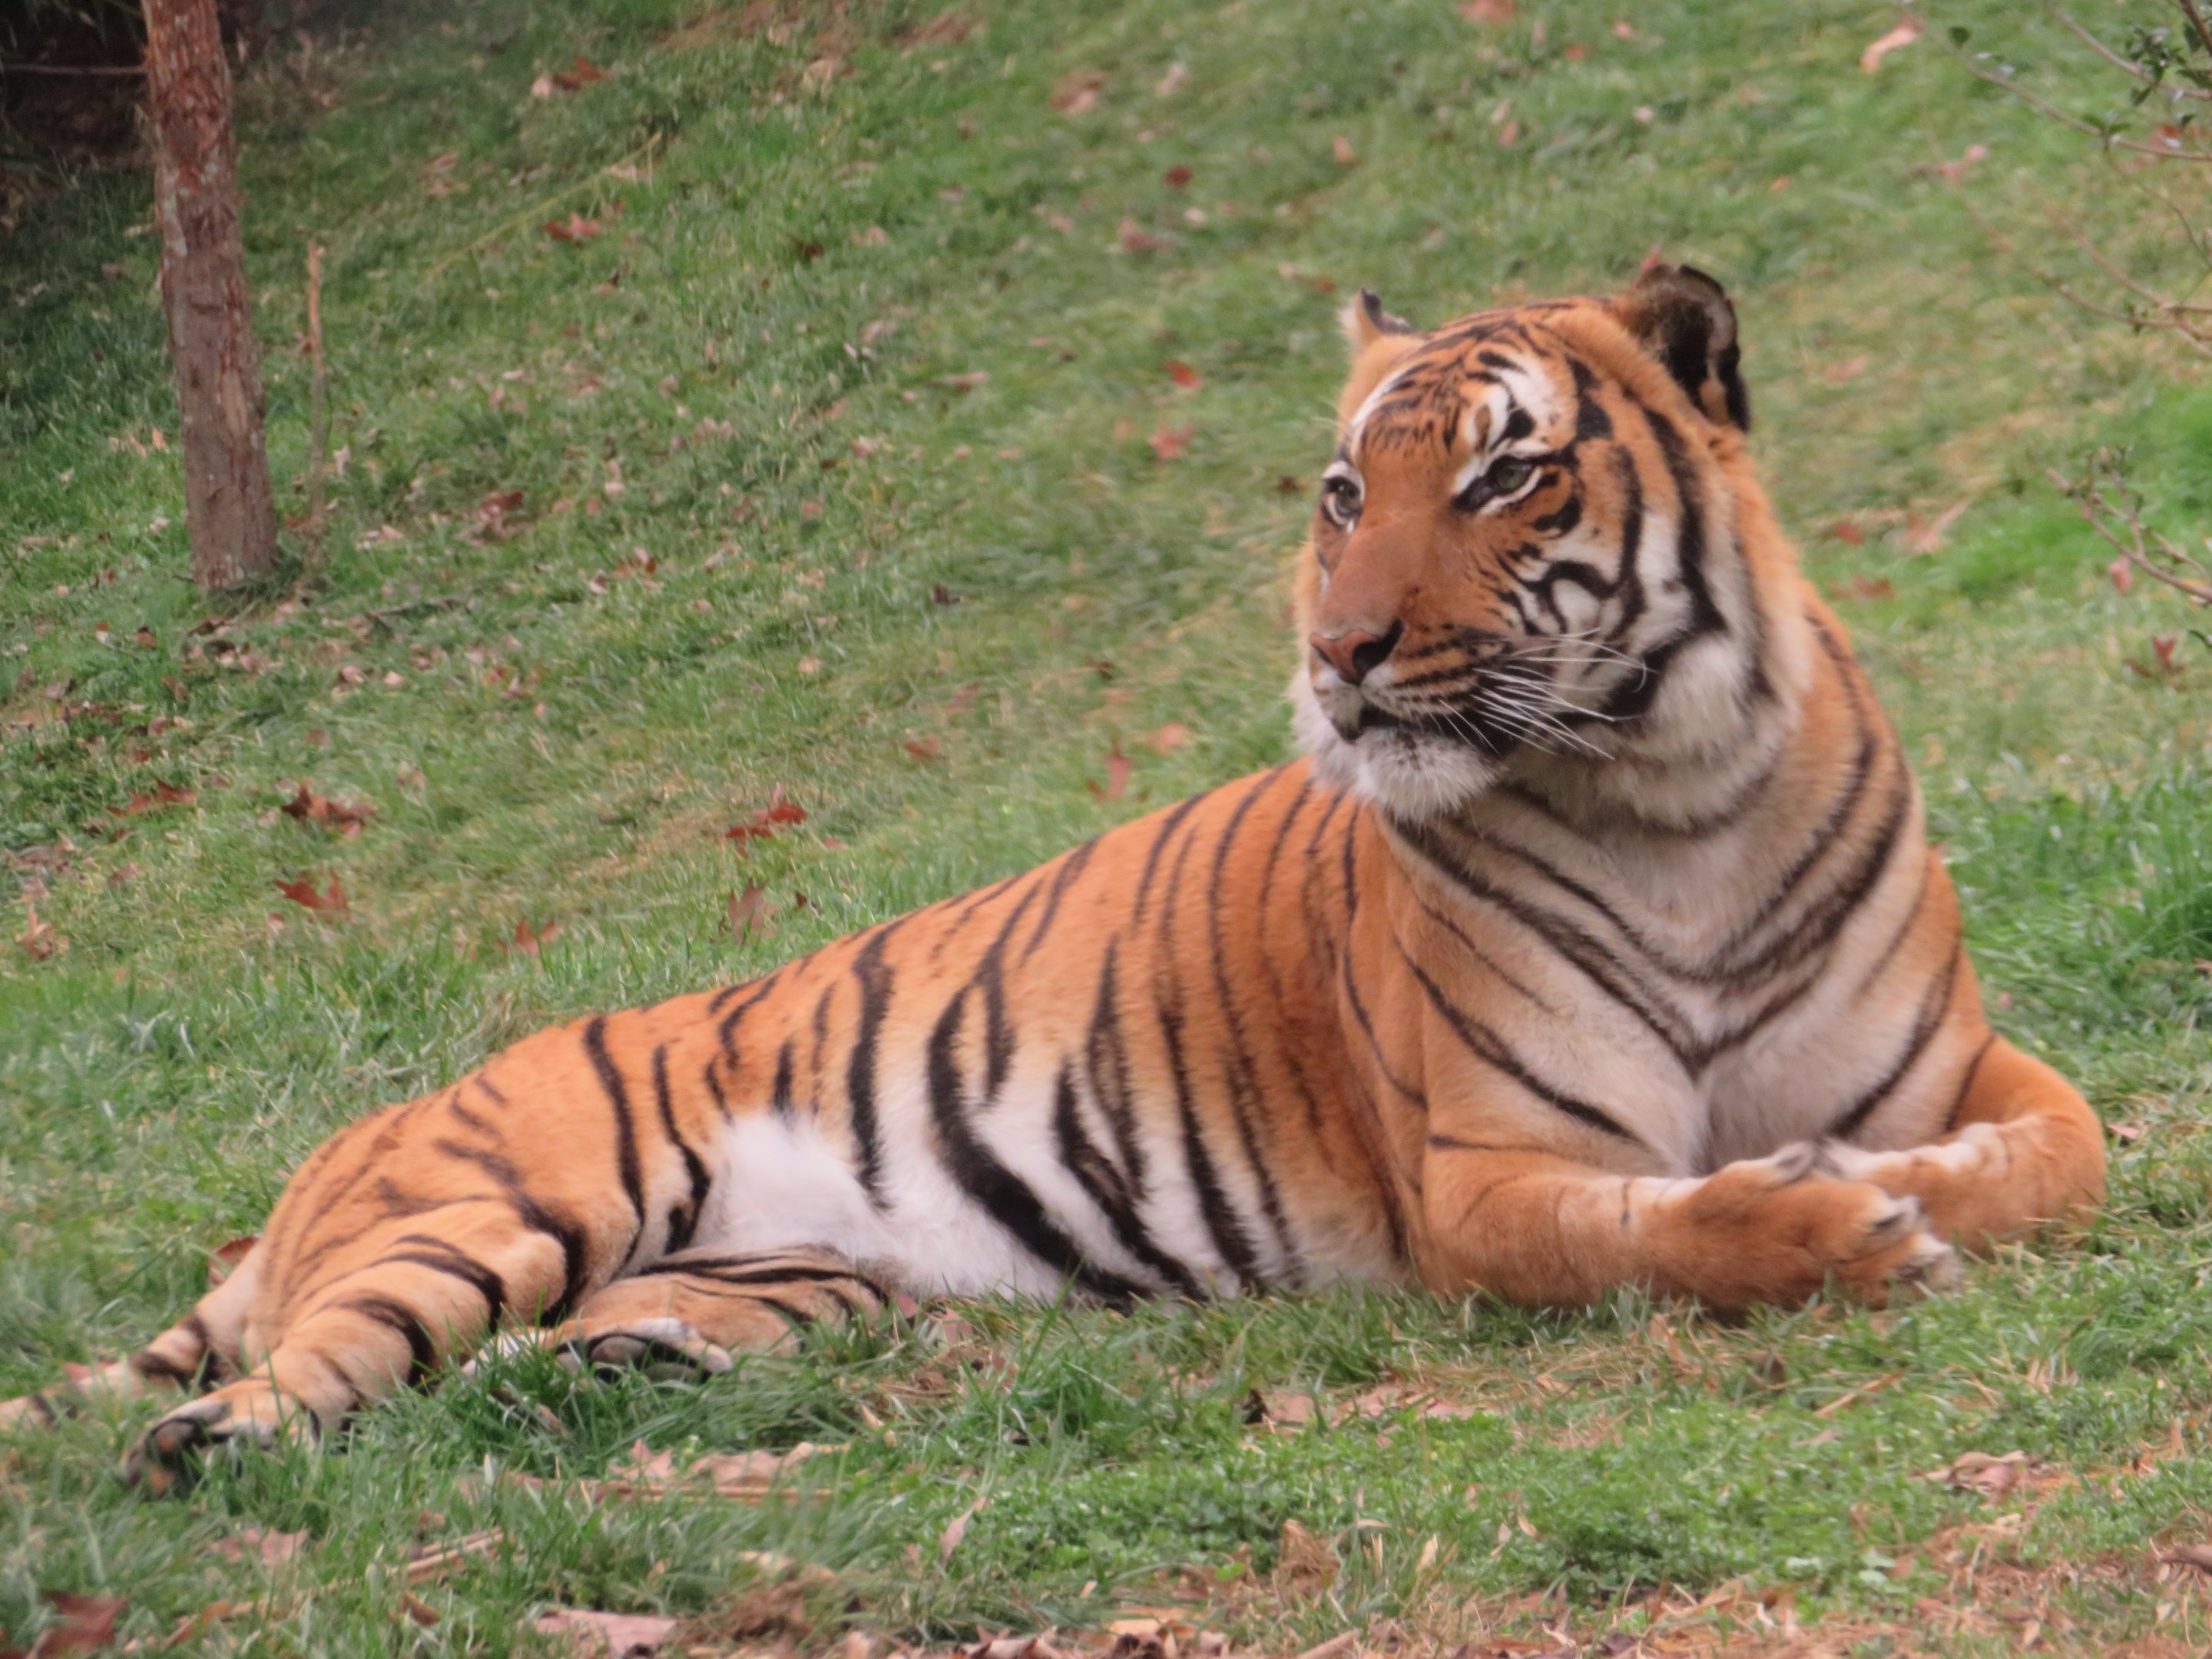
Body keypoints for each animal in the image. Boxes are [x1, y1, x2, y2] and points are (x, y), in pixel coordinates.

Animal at [3, 263, 2107, 1488]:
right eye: (1344, 493)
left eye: (1505, 477)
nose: (1338, 653)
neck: (1676, 800)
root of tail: (333, 1153)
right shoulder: (1483, 1176)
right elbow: (1658, 1231)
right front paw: (1837, 1227)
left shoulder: (1958, 1066)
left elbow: (2060, 1155)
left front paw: (1889, 1185)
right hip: (503, 1202)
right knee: (300, 1375)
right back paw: (217, 1438)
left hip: (787, 1285)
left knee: (563, 1352)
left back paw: (617, 1380)